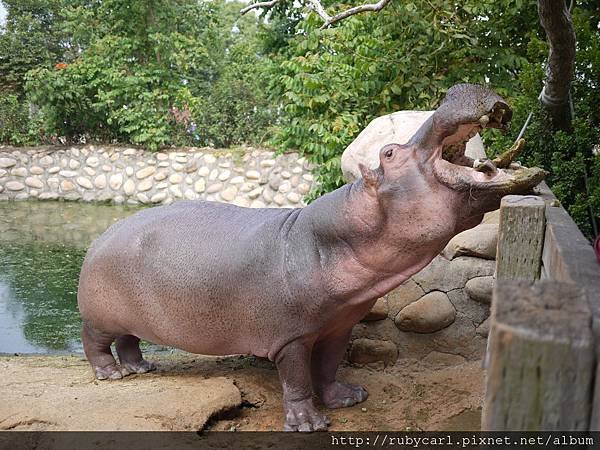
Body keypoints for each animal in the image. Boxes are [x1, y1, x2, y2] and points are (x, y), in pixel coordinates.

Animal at [77, 82, 548, 430]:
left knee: (129, 340)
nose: (457, 89)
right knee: (95, 342)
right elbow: (299, 379)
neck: (341, 232)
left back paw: (143, 369)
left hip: (131, 317)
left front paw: (348, 398)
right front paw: (309, 423)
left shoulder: (338, 325)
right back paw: (113, 375)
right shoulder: (292, 337)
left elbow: (327, 368)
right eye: (389, 152)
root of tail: (103, 234)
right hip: (99, 315)